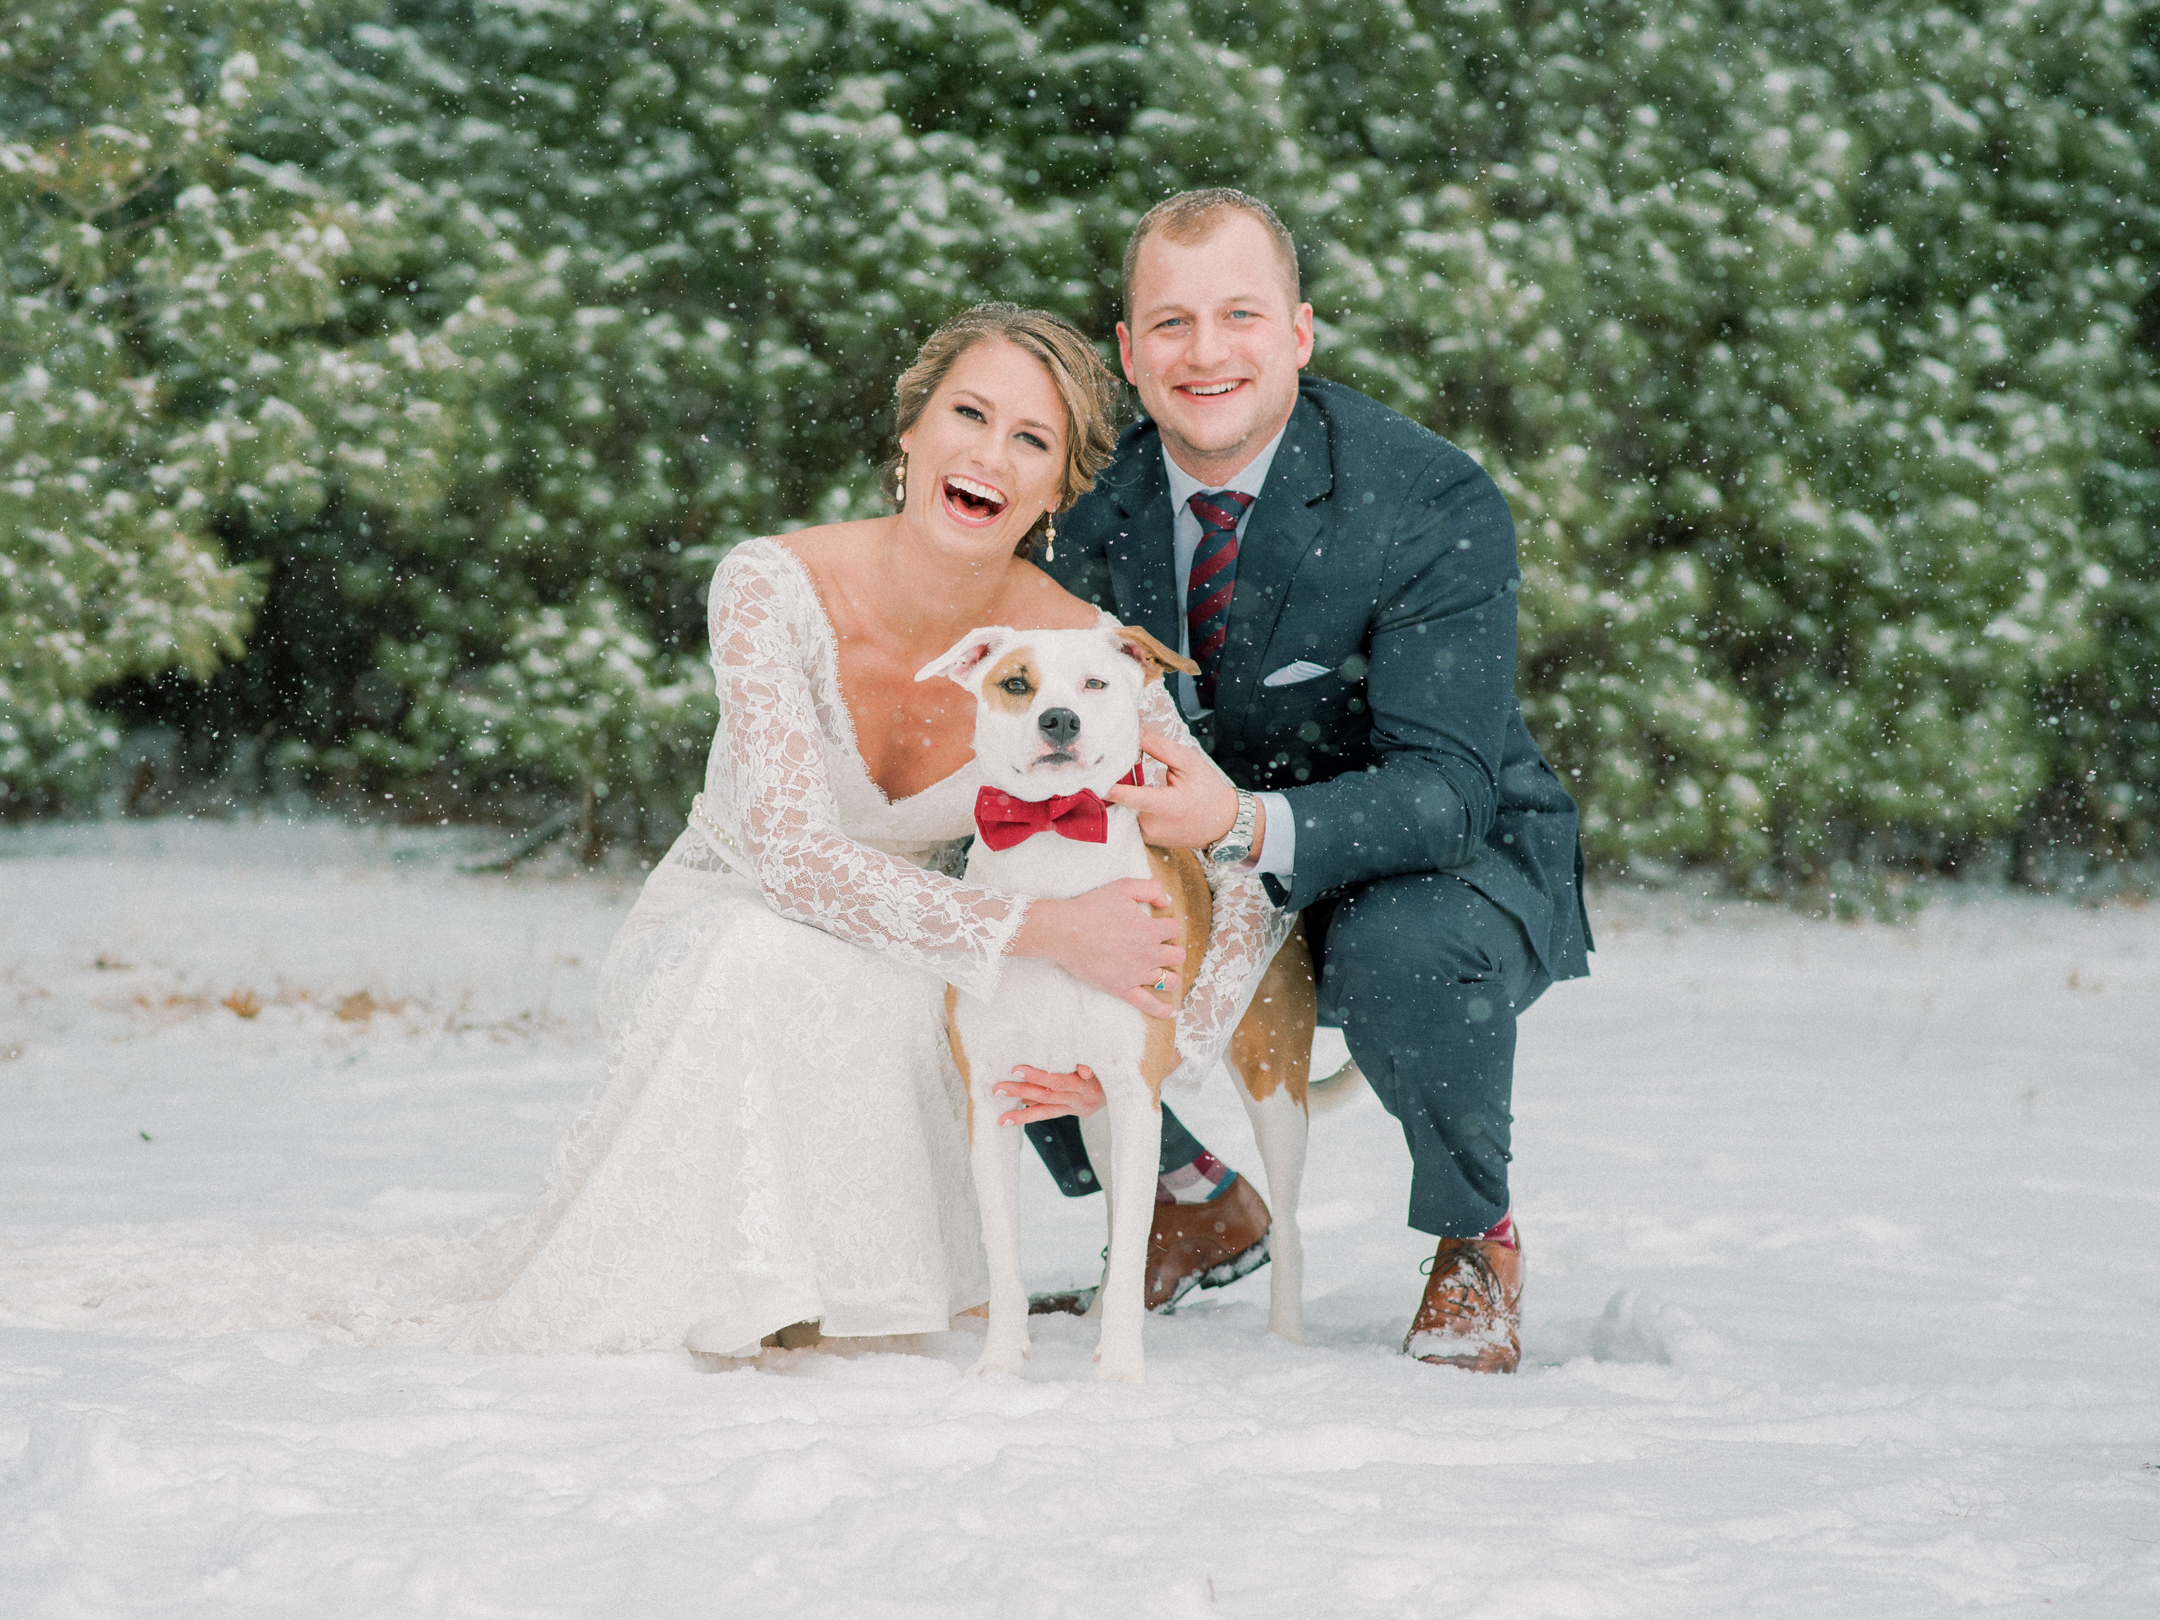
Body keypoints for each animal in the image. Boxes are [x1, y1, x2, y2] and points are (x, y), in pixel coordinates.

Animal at [915, 622, 1313, 1382]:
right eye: (1016, 683)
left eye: (1095, 683)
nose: (1059, 720)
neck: (1054, 845)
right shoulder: (996, 1094)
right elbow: (1005, 1253)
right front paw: (1001, 1366)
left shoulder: (1135, 1094)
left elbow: (1132, 1244)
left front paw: (1121, 1372)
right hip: (1093, 1109)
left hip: (1273, 1086)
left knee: (1288, 1218)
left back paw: (1285, 1338)